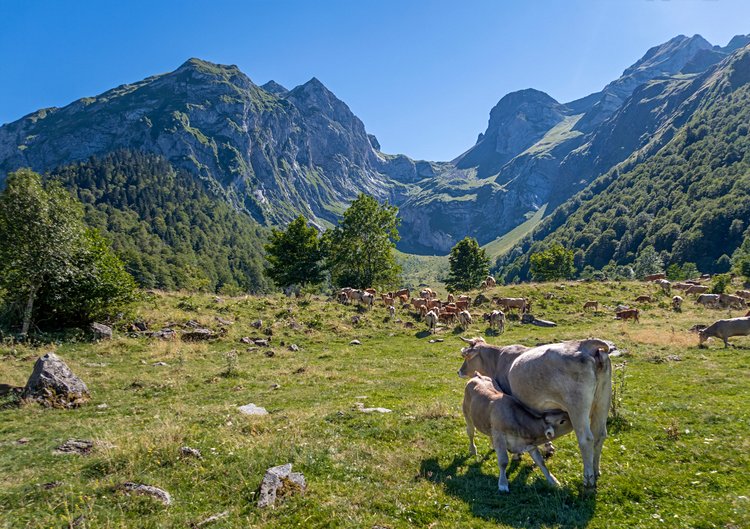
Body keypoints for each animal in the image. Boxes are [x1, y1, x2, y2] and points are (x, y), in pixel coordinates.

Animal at [458, 338, 616, 486]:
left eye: (466, 357)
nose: (459, 371)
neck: (497, 360)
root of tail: (585, 344)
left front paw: (517, 455)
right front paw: (548, 447)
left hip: (577, 407)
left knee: (586, 439)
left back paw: (588, 479)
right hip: (603, 402)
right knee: (600, 435)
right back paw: (596, 470)